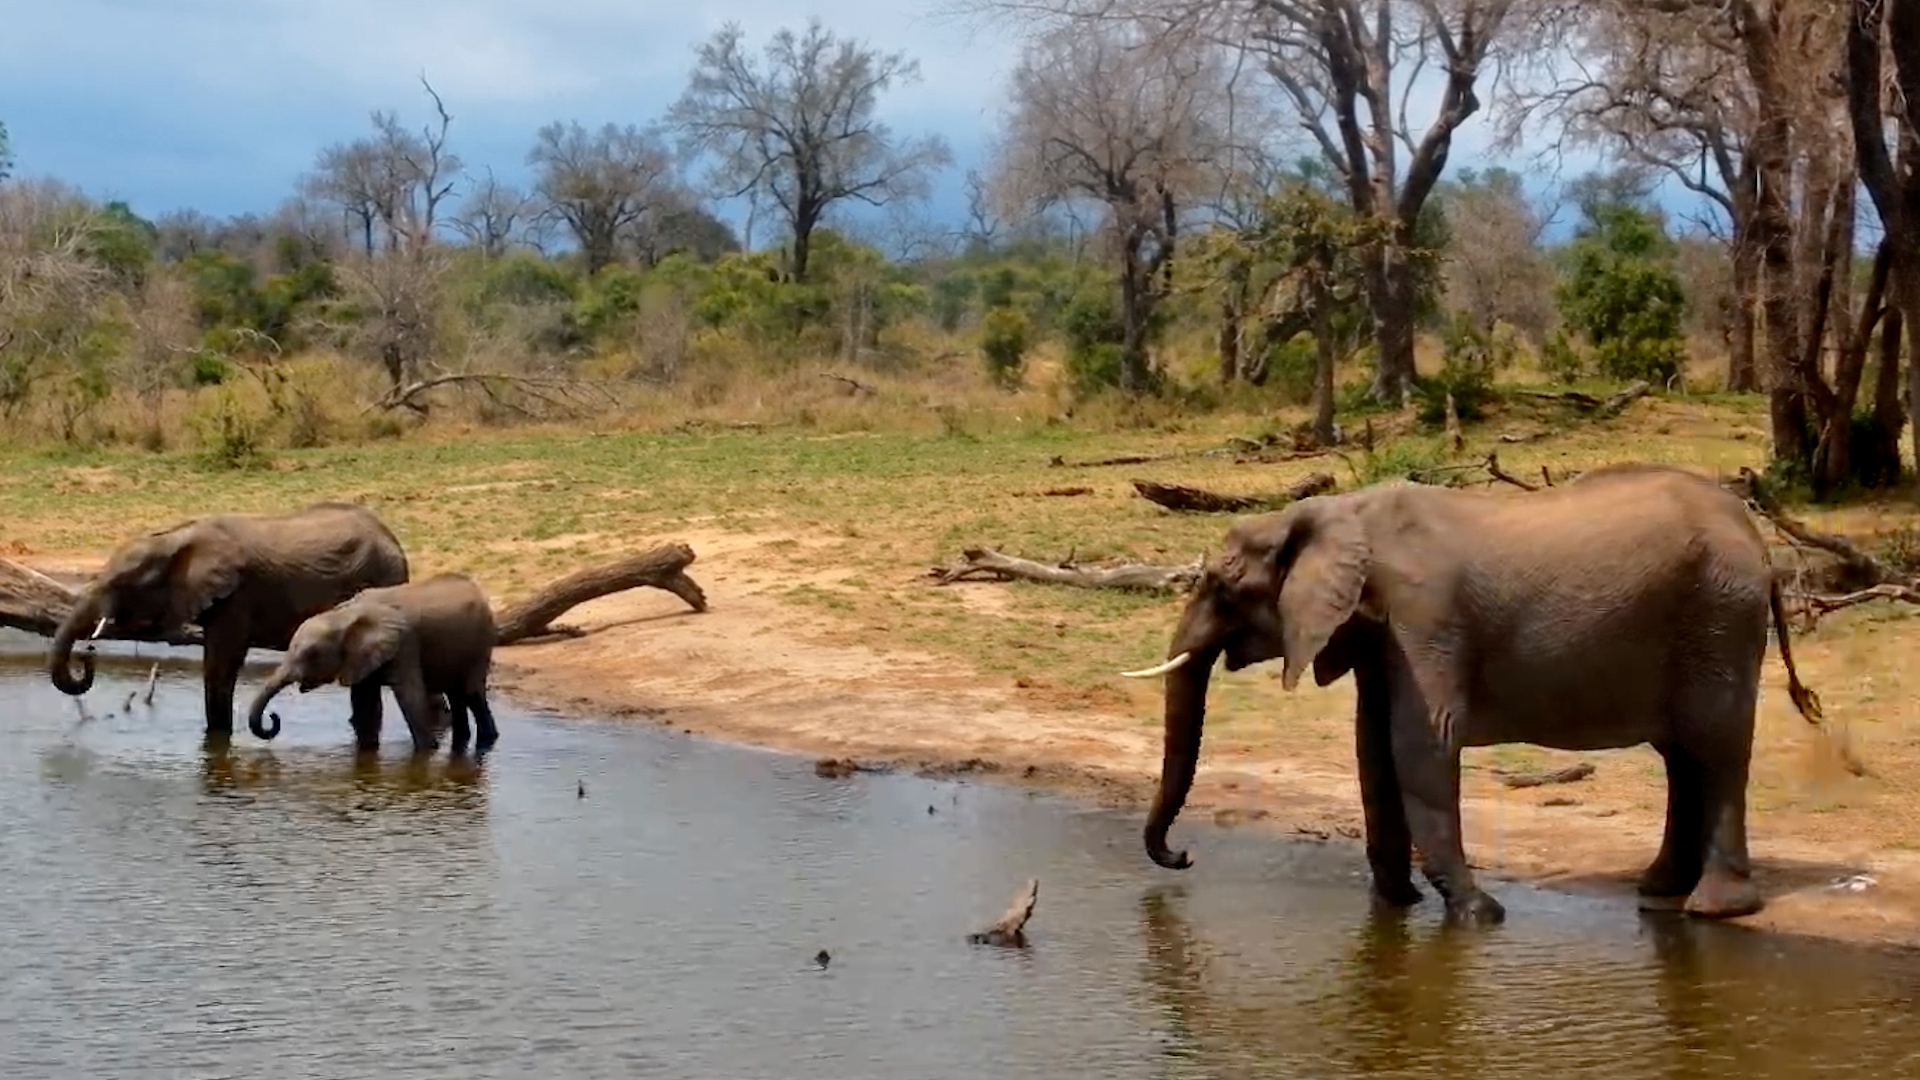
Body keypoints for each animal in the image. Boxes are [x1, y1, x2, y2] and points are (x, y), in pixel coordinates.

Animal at [48, 501, 410, 738]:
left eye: (120, 584)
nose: (88, 655)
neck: (174, 539)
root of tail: (393, 538)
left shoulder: (237, 595)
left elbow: (222, 662)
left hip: (384, 576)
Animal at [246, 572, 500, 755]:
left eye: (312, 654)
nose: (273, 717)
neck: (343, 615)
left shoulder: (404, 643)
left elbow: (410, 697)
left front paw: (427, 752)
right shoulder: (359, 658)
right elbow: (365, 704)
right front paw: (366, 753)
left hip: (481, 642)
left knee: (471, 693)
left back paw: (488, 740)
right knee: (456, 694)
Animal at [1120, 463, 1827, 926]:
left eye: (1222, 586)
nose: (1182, 856)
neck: (1334, 512)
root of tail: (1759, 540)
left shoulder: (1425, 617)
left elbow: (1423, 743)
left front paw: (1479, 916)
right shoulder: (1382, 633)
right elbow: (1373, 748)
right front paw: (1396, 908)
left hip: (1720, 616)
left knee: (1716, 747)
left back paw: (1713, 910)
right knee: (1682, 754)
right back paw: (1656, 892)